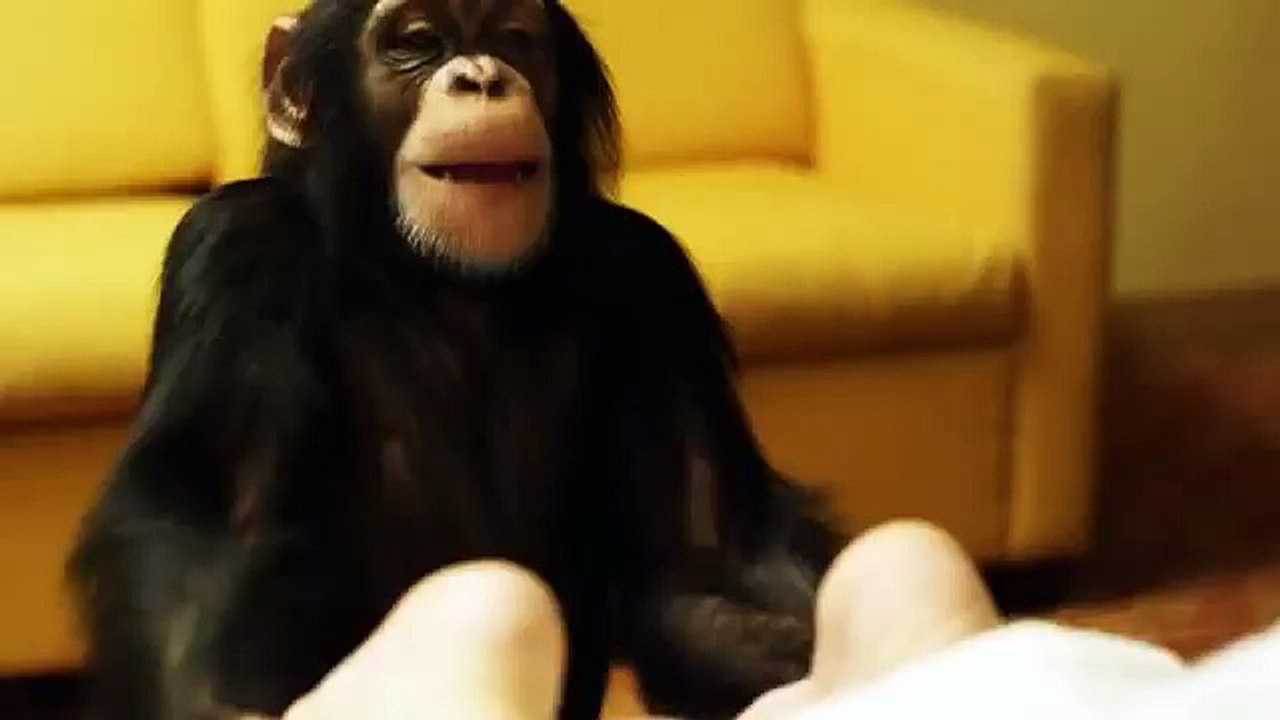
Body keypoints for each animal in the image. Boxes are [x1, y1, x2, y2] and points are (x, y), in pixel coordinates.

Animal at [65, 1, 846, 719]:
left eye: (514, 38)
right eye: (417, 41)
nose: (482, 78)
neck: (440, 276)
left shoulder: (655, 283)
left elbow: (703, 562)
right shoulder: (238, 252)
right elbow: (204, 525)